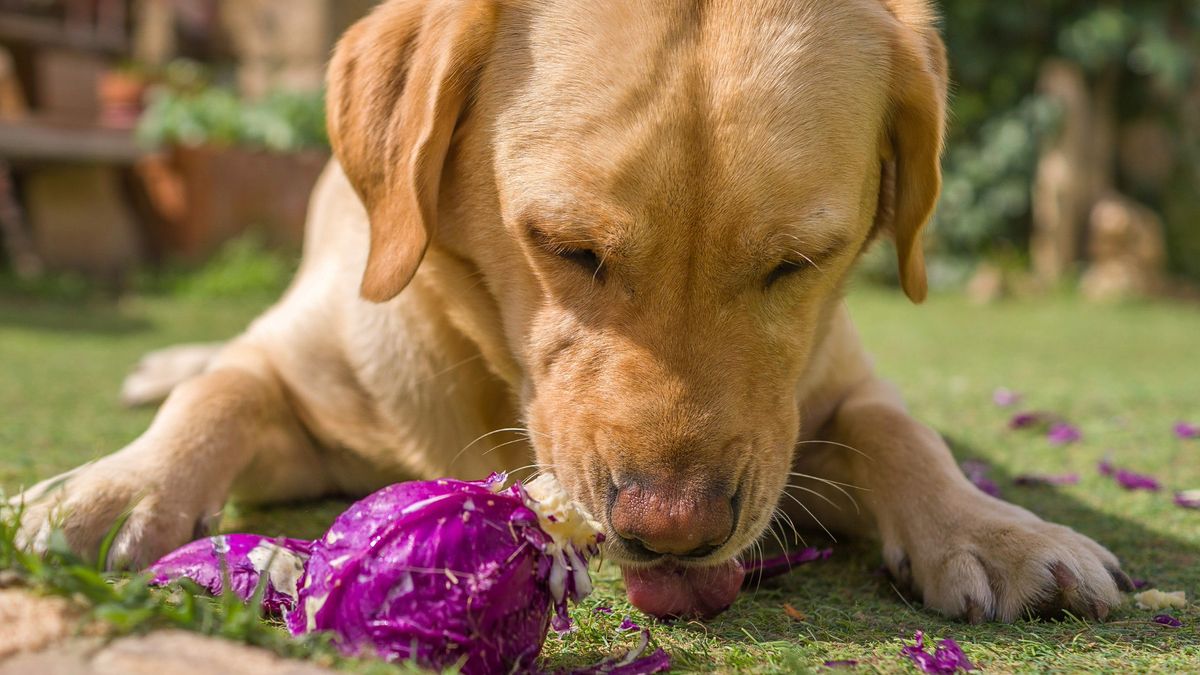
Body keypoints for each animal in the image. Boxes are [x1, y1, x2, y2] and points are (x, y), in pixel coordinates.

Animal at [11, 0, 1132, 619]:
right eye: (566, 247)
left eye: (799, 263)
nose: (672, 534)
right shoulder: (308, 391)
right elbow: (224, 393)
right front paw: (108, 491)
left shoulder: (827, 401)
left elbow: (898, 431)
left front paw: (996, 530)